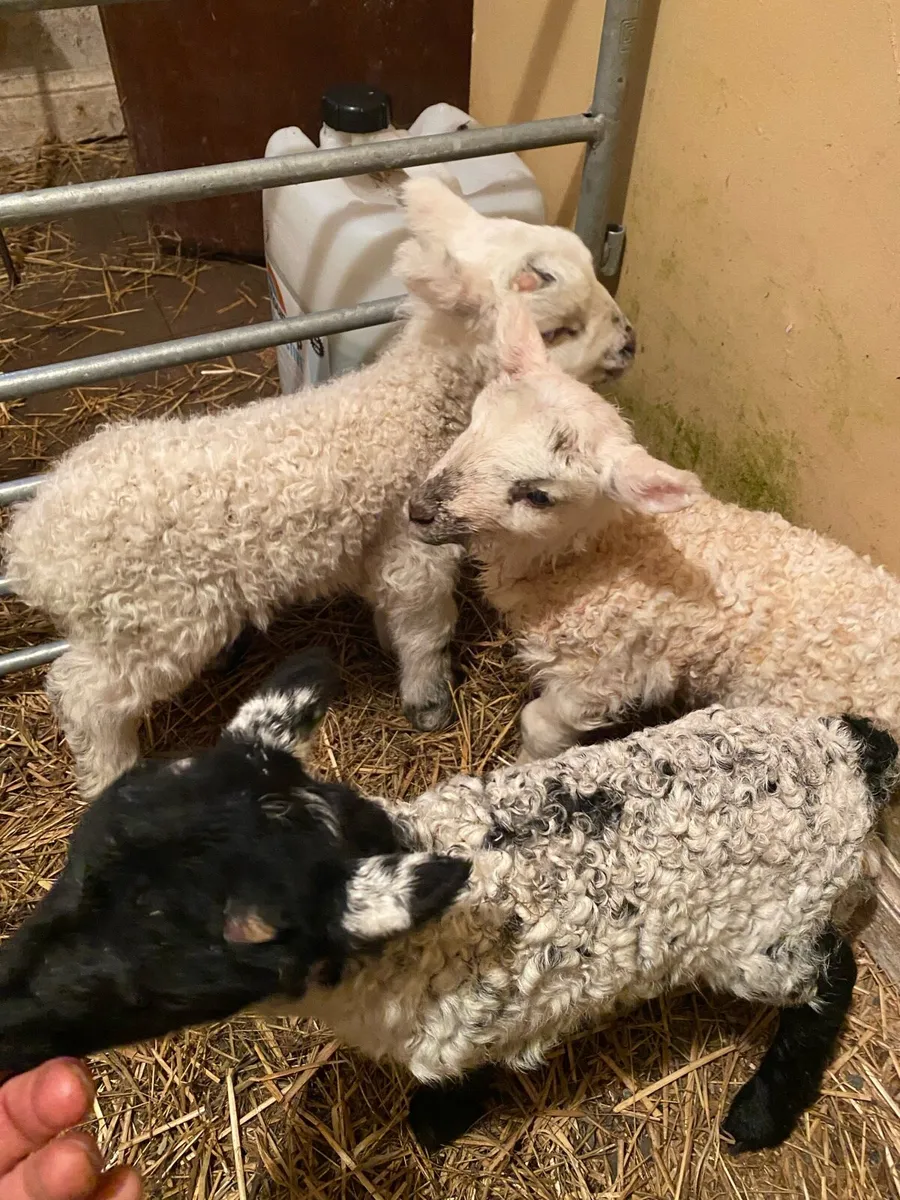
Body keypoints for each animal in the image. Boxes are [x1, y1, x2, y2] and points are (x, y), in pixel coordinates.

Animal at [0, 646, 894, 1158]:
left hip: (766, 936)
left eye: (160, 967)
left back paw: (760, 1116)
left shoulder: (468, 1027)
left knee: (834, 972)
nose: (11, 1011)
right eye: (75, 865)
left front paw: (434, 1126)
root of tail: (845, 751)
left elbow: (461, 1078)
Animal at [2, 178, 635, 799]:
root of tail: (35, 546)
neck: (416, 406)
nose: (630, 341)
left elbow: (392, 613)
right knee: (85, 697)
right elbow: (427, 630)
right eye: (558, 332)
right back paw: (108, 773)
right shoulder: (416, 547)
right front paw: (429, 702)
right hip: (152, 622)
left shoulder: (383, 548)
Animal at [407, 301, 900, 764]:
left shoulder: (606, 671)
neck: (603, 555)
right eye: (474, 422)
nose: (419, 511)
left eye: (538, 496)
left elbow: (540, 724)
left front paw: (520, 770)